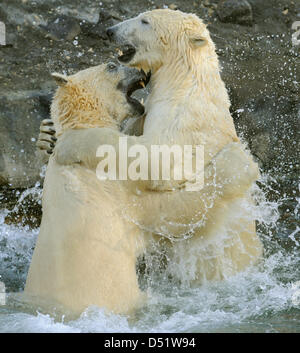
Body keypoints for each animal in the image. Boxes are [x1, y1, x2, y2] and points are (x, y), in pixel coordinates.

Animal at [42, 11, 262, 284]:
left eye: (144, 20)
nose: (110, 31)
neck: (185, 82)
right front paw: (47, 135)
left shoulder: (185, 122)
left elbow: (156, 160)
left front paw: (66, 144)